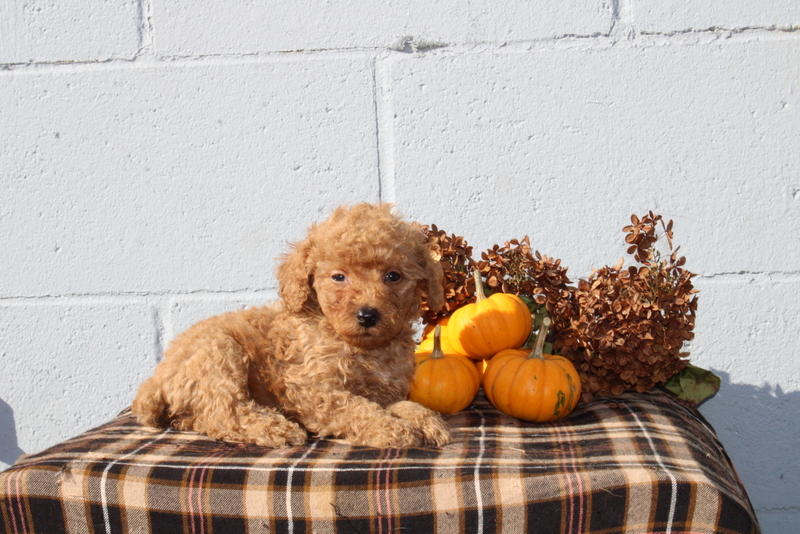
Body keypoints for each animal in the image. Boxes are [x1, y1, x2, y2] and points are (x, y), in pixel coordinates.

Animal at [134, 204, 454, 448]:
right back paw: (278, 429)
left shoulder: (384, 390)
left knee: (205, 418)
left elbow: (401, 405)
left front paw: (425, 420)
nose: (367, 315)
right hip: (218, 352)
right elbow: (353, 408)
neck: (362, 347)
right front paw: (392, 429)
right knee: (226, 413)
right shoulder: (310, 389)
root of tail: (156, 378)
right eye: (339, 277)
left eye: (393, 276)